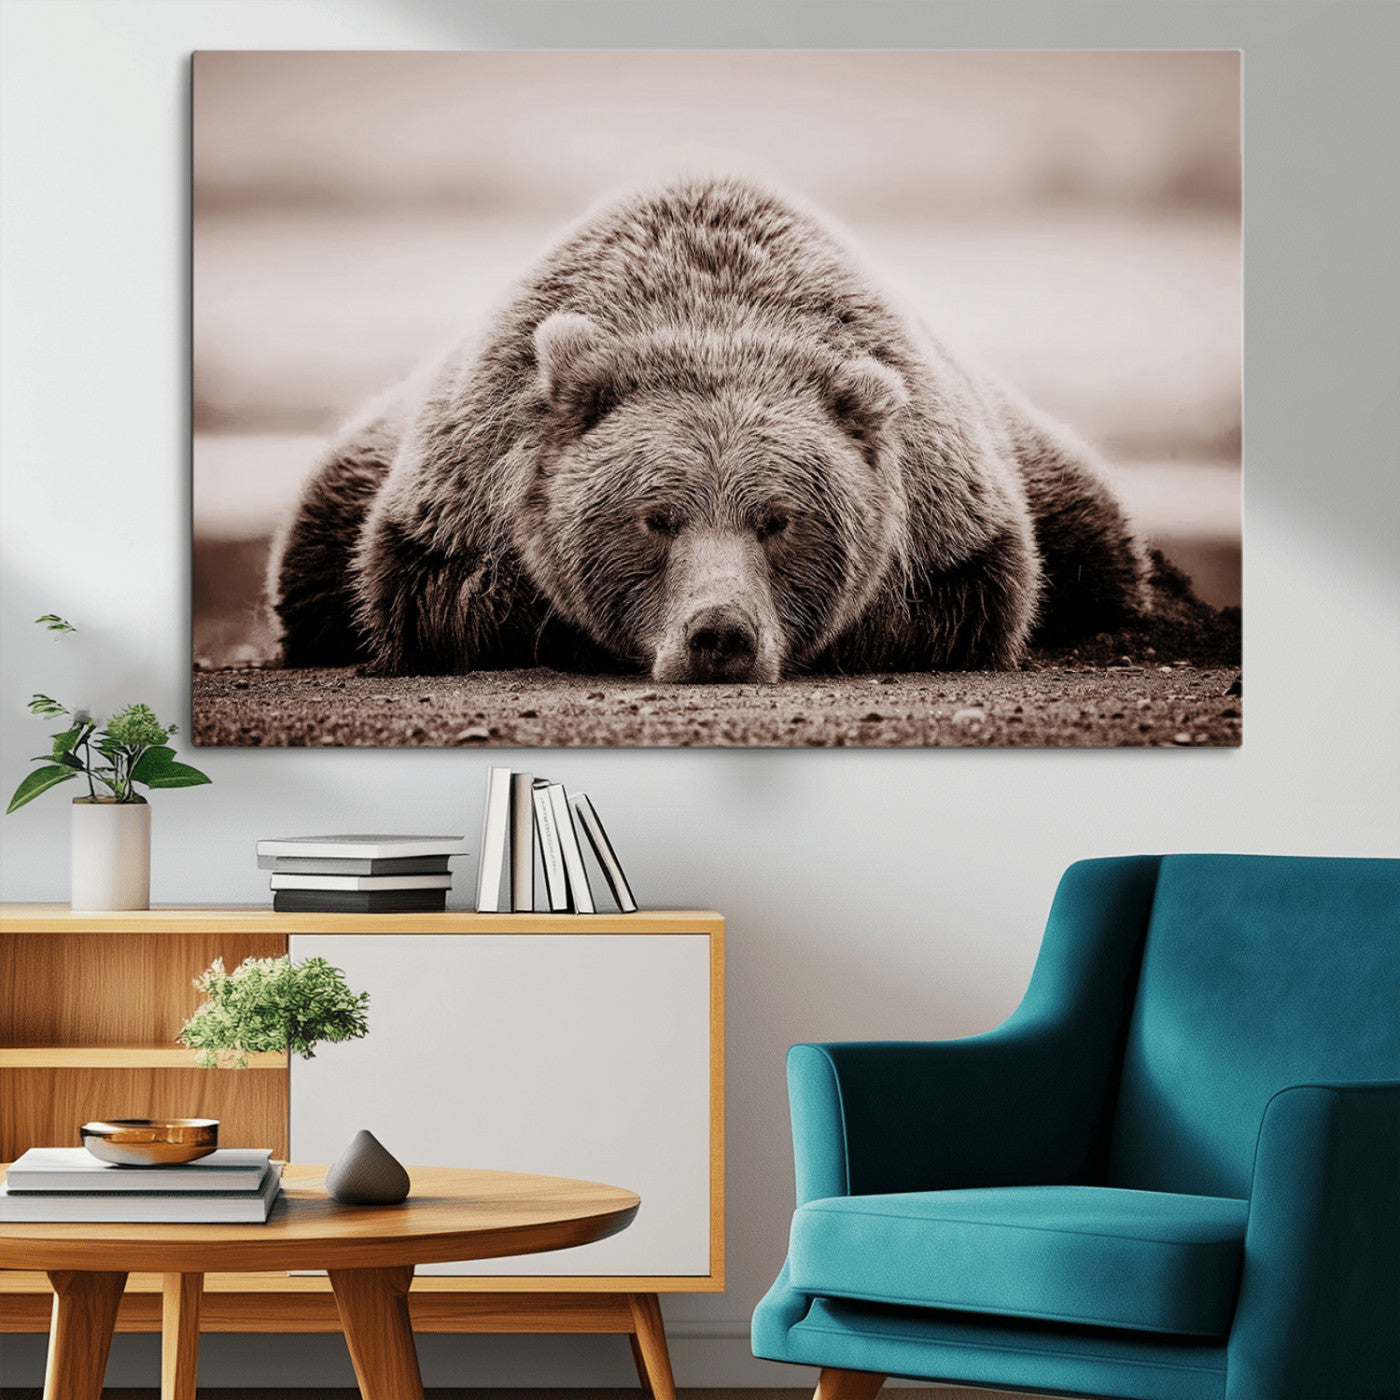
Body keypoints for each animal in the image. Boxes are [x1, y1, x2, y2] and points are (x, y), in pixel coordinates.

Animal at [269, 176, 1148, 683]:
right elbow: (437, 596)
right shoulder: (460, 495)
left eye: (779, 519)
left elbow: (967, 599)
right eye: (656, 517)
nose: (719, 635)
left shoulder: (949, 513)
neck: (713, 315)